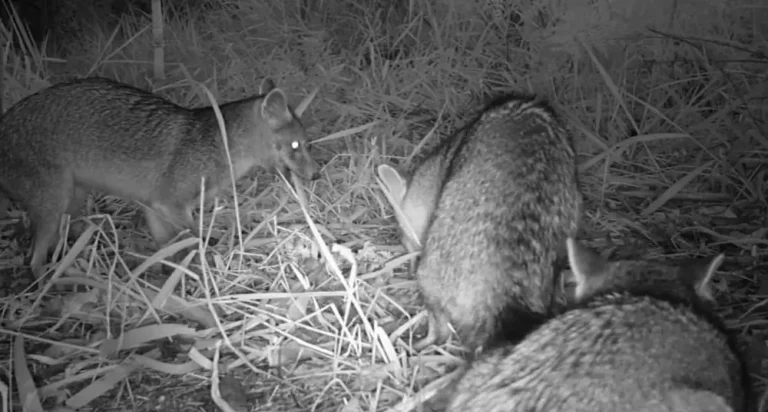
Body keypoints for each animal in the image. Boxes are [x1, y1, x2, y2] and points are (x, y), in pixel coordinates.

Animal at [0, 76, 321, 280]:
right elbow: (196, 239)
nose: (316, 174)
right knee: (34, 260)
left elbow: (168, 249)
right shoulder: (171, 204)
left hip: (71, 203)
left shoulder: (153, 207)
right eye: (296, 146)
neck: (218, 143)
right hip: (54, 205)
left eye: (308, 145)